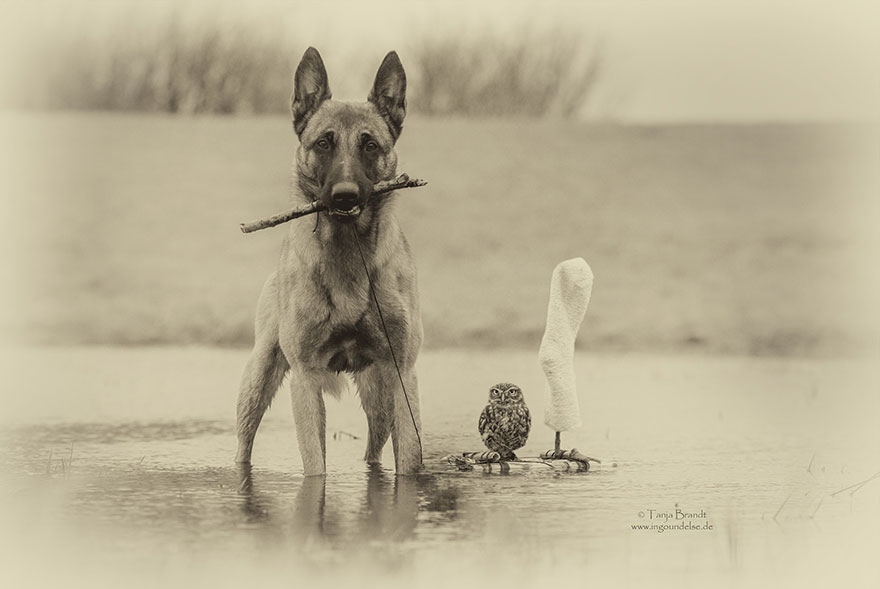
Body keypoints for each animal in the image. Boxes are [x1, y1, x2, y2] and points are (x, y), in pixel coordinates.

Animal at [235, 48, 424, 476]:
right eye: (324, 143)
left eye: (369, 145)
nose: (344, 196)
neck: (348, 254)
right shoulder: (305, 379)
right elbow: (315, 464)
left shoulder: (402, 373)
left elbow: (408, 459)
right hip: (258, 377)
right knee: (244, 443)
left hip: (379, 393)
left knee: (374, 447)